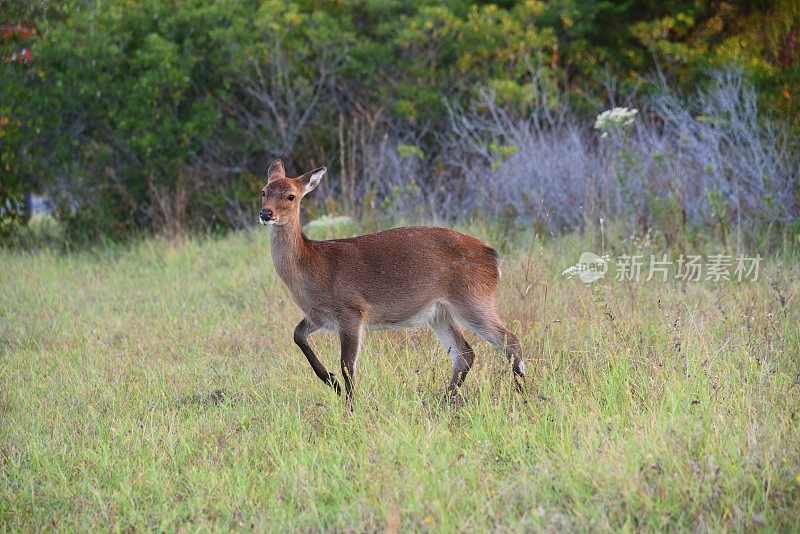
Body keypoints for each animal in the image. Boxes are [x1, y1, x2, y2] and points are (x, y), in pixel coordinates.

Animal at [260, 160, 528, 410]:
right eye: (264, 191)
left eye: (291, 196)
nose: (265, 214)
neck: (313, 266)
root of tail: (494, 258)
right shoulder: (317, 316)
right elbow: (298, 336)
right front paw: (332, 382)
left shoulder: (351, 311)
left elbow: (347, 366)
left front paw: (350, 409)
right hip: (439, 312)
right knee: (465, 354)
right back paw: (443, 402)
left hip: (473, 299)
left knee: (510, 341)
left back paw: (523, 396)